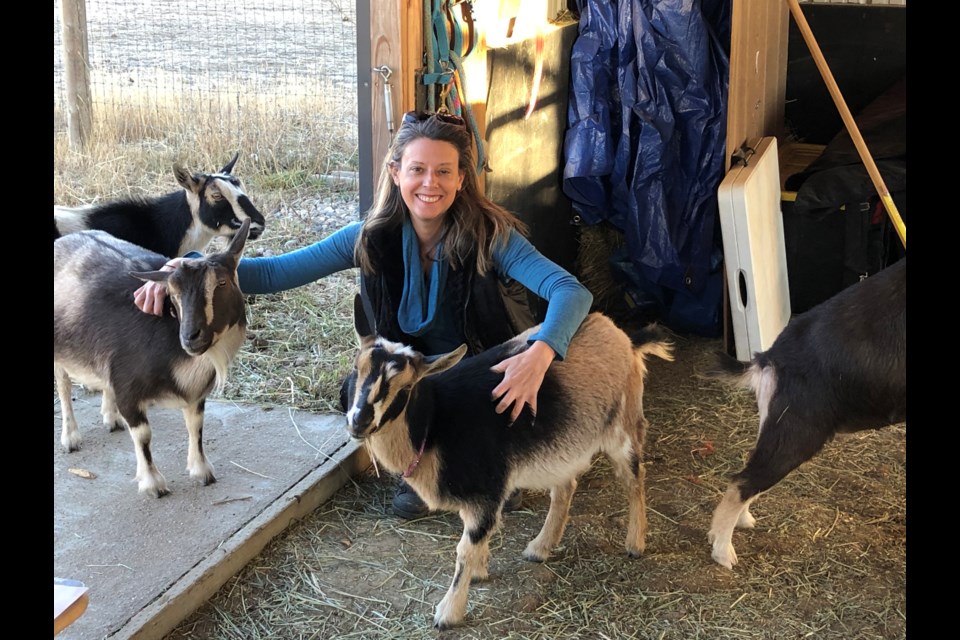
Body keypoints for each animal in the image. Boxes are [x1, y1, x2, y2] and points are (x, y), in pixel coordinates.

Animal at [53, 218, 251, 498]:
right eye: (173, 293)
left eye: (221, 283)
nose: (190, 337)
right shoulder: (128, 390)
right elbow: (144, 436)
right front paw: (153, 484)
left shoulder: (195, 393)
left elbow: (196, 426)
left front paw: (202, 471)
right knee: (63, 386)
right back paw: (71, 437)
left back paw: (111, 417)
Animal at [344, 296, 676, 632]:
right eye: (356, 369)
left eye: (405, 388)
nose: (359, 421)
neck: (432, 425)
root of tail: (623, 337)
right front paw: (479, 572)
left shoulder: (487, 490)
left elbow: (464, 549)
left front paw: (448, 613)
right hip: (563, 441)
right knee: (566, 487)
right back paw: (540, 548)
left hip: (623, 424)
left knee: (634, 477)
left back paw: (635, 543)